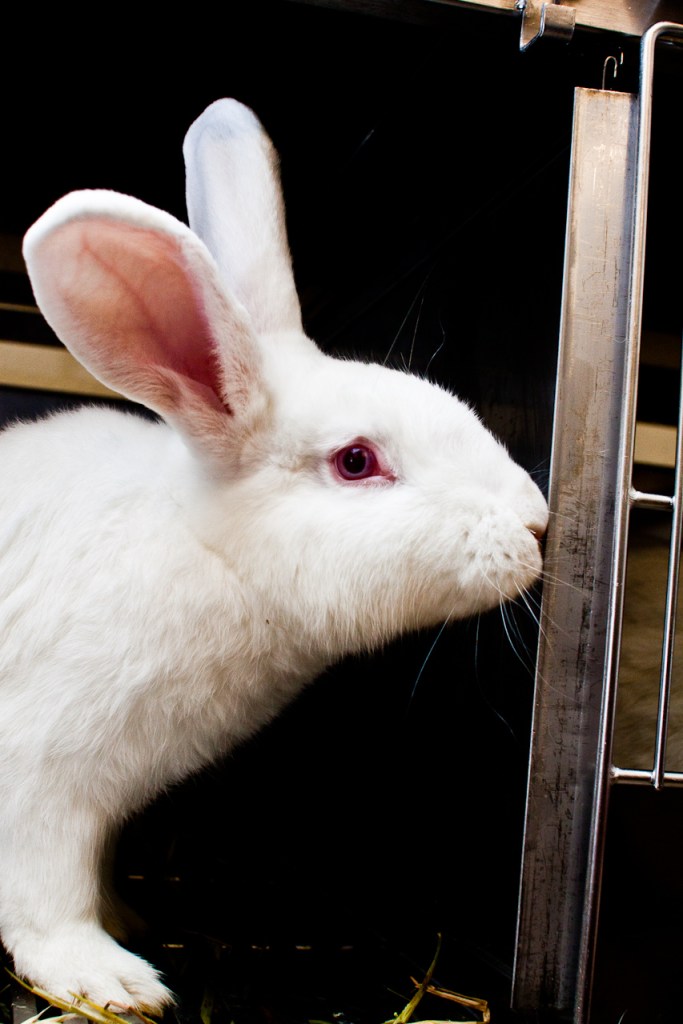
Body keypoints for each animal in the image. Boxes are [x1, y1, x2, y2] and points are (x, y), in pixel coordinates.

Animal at [0, 98, 548, 1013]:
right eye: (356, 461)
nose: (537, 522)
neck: (209, 549)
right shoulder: (41, 773)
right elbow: (49, 895)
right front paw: (109, 979)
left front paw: (128, 917)